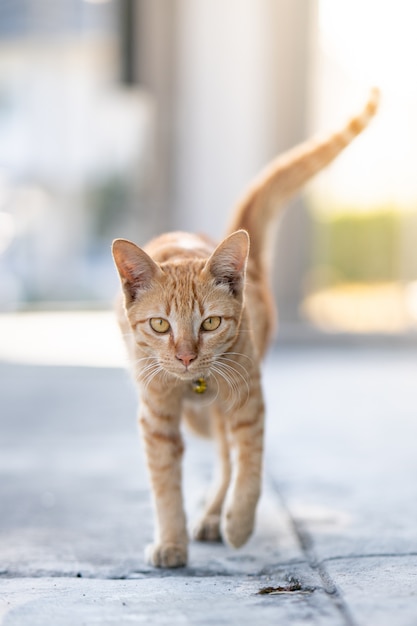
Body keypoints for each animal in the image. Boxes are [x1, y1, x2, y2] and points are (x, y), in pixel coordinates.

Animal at [112, 91, 378, 564]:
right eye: (160, 325)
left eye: (211, 323)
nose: (185, 356)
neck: (195, 383)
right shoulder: (157, 415)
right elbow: (164, 483)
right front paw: (171, 542)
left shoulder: (247, 399)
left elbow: (250, 466)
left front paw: (238, 522)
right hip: (196, 420)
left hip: (217, 415)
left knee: (227, 461)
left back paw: (215, 515)